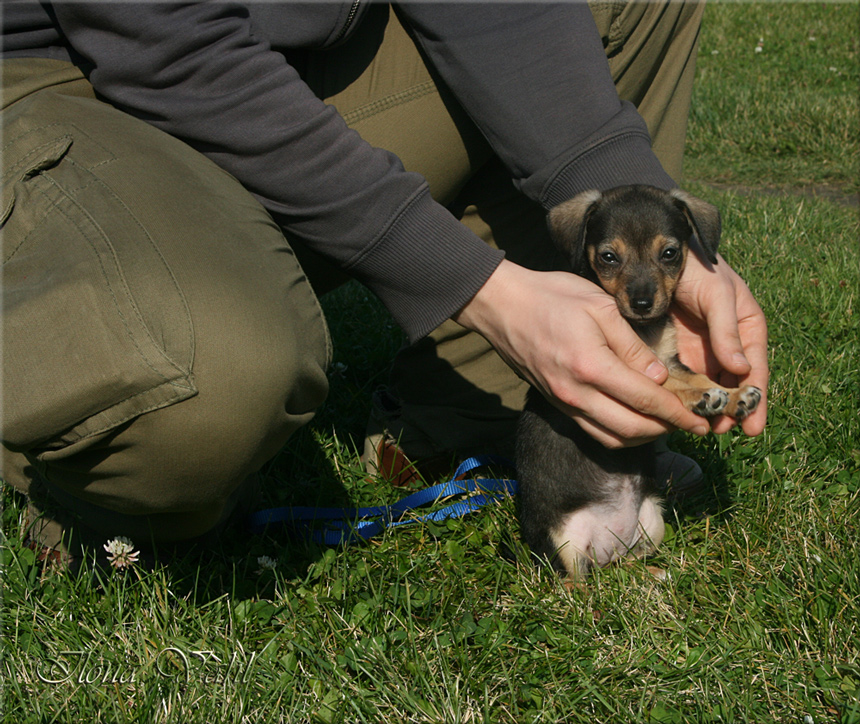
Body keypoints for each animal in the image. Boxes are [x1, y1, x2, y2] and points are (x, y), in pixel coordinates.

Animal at [512, 185, 764, 584]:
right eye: (609, 257)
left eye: (670, 253)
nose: (643, 303)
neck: (644, 331)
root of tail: (605, 550)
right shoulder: (631, 369)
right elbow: (669, 385)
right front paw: (704, 397)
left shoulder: (670, 360)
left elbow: (692, 375)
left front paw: (736, 396)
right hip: (564, 542)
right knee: (576, 584)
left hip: (651, 519)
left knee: (628, 564)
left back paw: (654, 576)